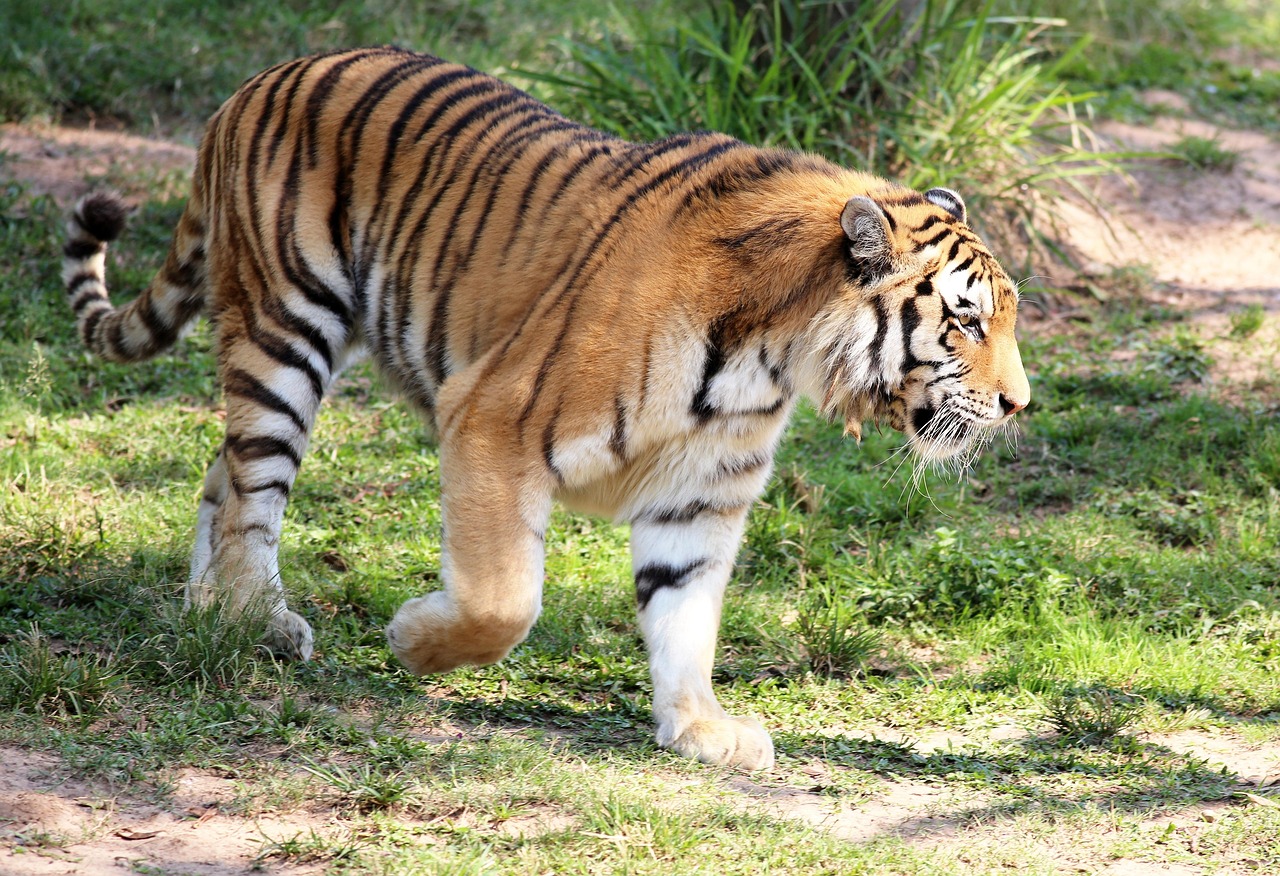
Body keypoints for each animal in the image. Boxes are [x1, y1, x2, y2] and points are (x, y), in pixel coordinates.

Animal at [62, 46, 1029, 770]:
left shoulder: (703, 493)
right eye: (967, 318)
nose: (1020, 403)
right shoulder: (493, 421)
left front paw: (701, 728)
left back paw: (212, 609)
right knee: (253, 489)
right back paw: (256, 617)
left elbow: (686, 616)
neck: (770, 354)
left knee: (219, 474)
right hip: (286, 330)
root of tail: (256, 82)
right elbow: (504, 603)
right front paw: (413, 642)